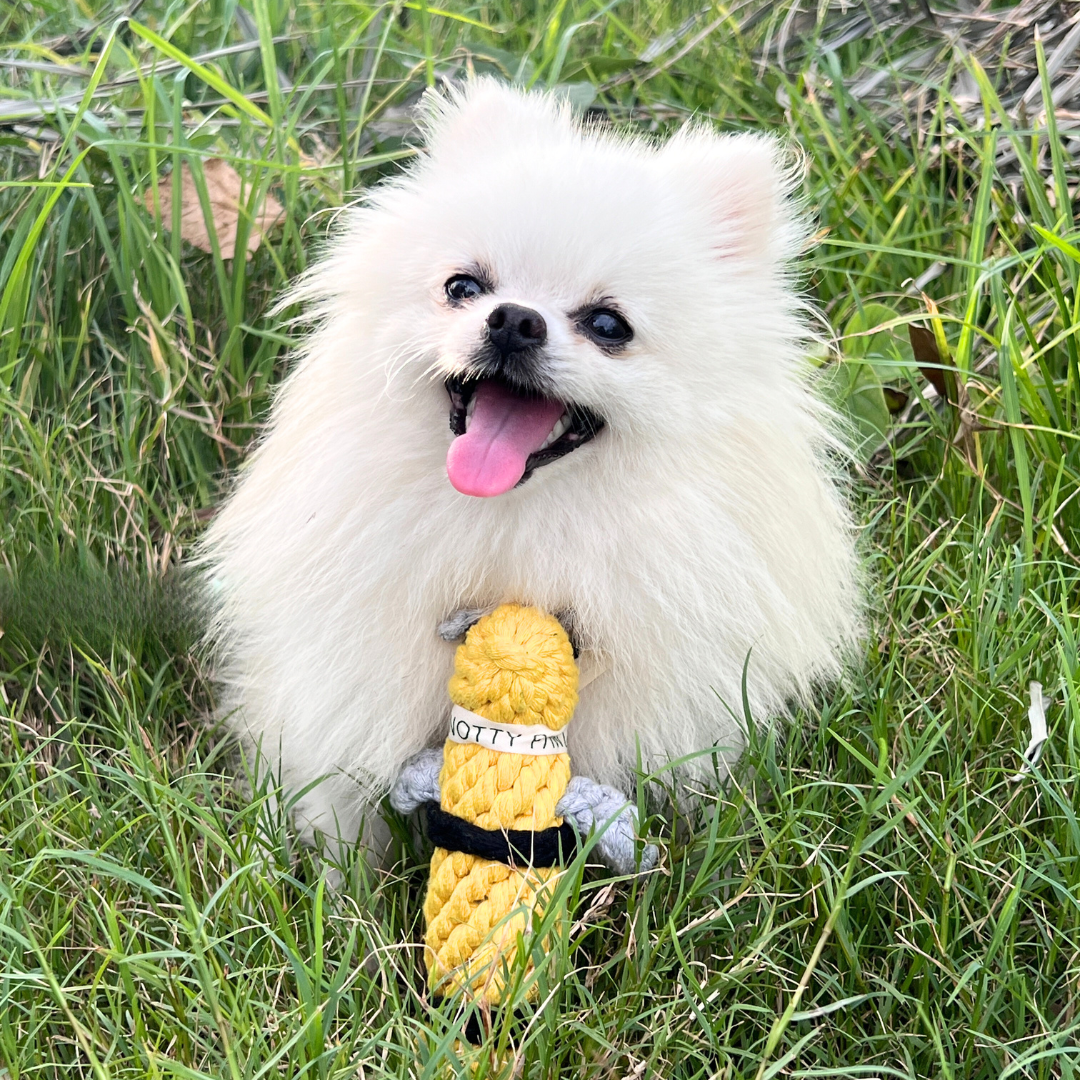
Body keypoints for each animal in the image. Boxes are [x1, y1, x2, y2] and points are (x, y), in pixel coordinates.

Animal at [200, 79, 859, 855]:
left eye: (608, 325)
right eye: (463, 286)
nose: (514, 319)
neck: (514, 529)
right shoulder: (338, 699)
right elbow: (341, 817)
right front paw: (338, 879)